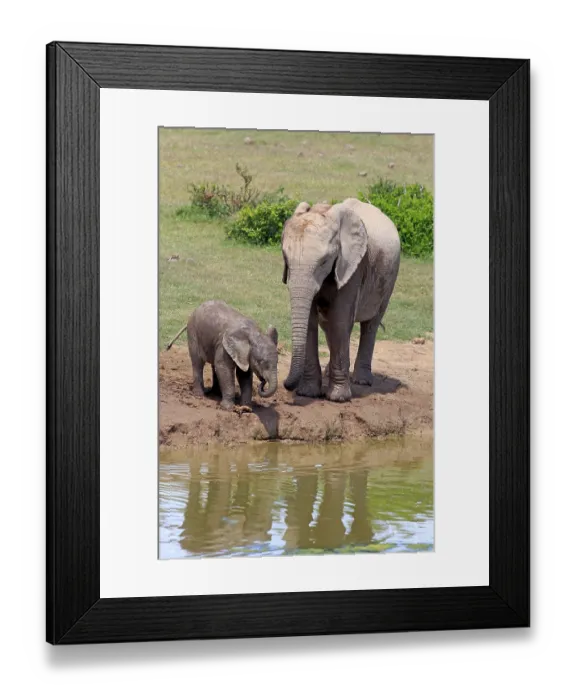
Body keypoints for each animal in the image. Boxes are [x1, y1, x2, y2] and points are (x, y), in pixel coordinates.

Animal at [281, 197, 401, 402]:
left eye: (324, 261)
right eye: (285, 259)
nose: (286, 385)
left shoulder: (353, 265)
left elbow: (340, 320)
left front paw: (338, 398)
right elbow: (311, 322)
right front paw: (308, 393)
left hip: (390, 277)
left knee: (371, 324)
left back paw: (362, 381)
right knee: (327, 325)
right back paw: (330, 373)